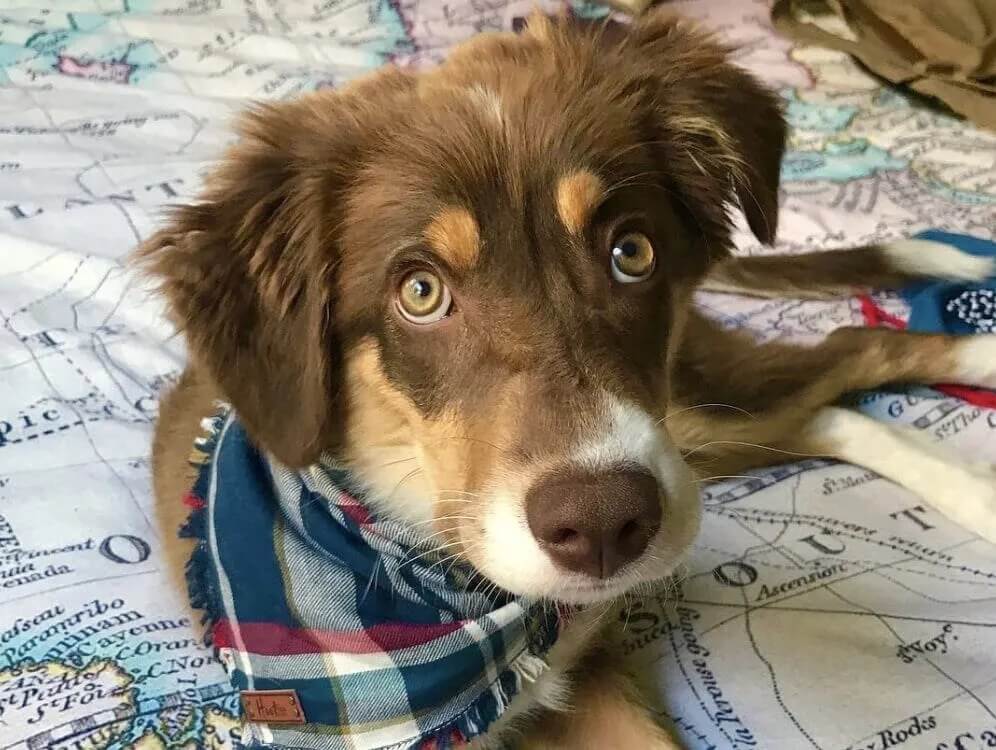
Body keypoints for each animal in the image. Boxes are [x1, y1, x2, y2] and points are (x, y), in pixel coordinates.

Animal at [138, 7, 996, 750]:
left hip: (686, 413)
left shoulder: (589, 668)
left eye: (632, 251)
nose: (606, 524)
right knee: (830, 404)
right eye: (420, 292)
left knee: (854, 351)